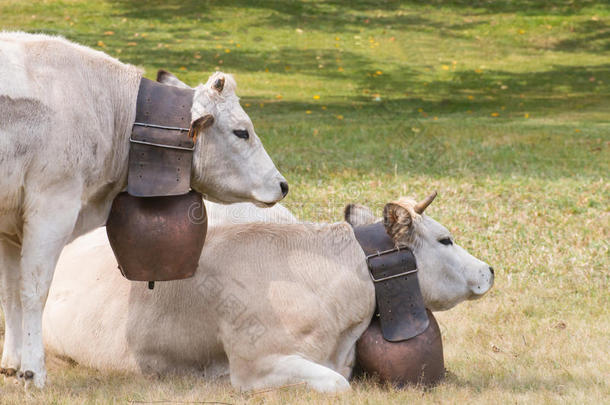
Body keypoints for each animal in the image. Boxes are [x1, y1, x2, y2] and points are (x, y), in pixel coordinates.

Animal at [0, 30, 288, 386]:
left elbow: (10, 293)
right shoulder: (52, 206)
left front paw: (12, 363)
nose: (282, 184)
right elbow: (34, 291)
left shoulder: (11, 228)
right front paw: (33, 371)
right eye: (241, 132)